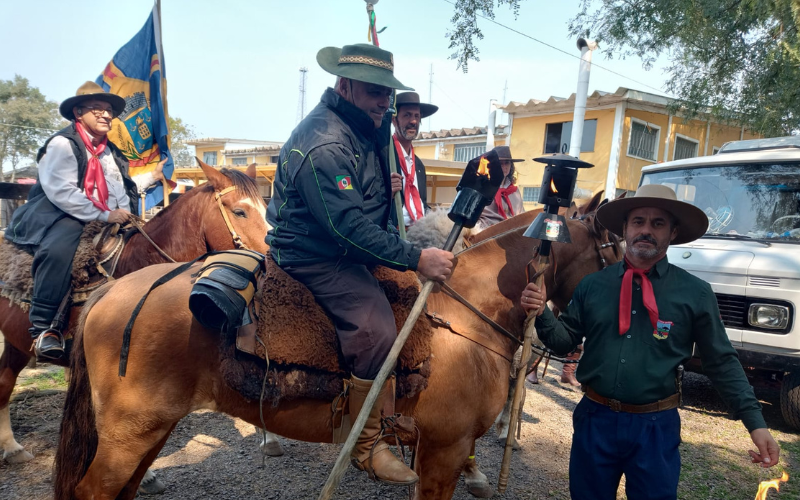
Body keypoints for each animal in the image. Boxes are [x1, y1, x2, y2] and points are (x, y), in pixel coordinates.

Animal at [53, 206, 620, 496]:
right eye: (613, 250)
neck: (462, 316)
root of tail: (112, 292)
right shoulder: (444, 451)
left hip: (149, 432)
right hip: (129, 435)